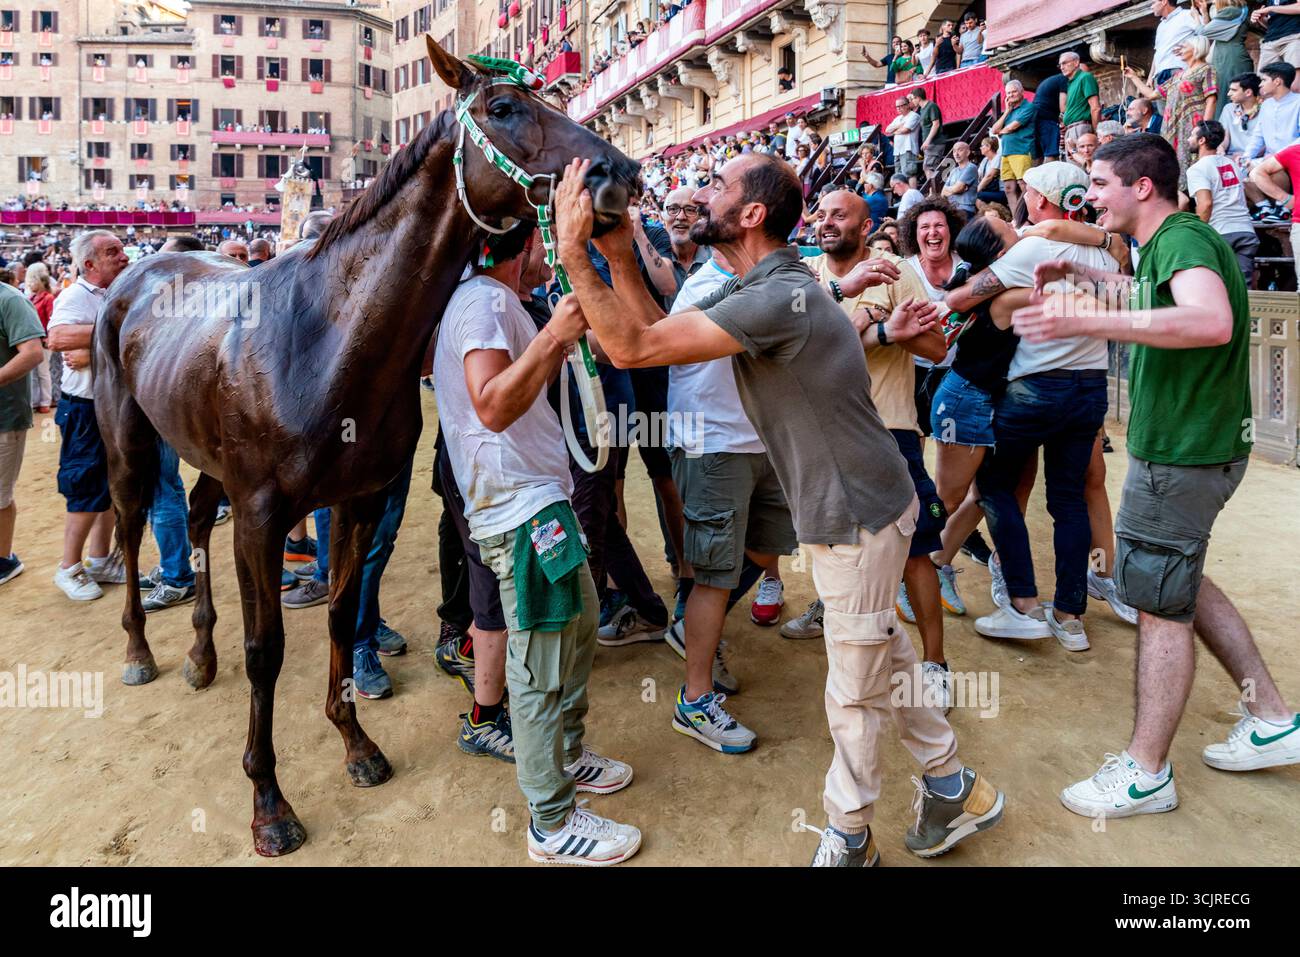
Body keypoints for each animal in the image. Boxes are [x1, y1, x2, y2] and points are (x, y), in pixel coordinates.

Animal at [92, 37, 639, 857]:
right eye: (504, 108)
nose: (622, 173)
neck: (325, 338)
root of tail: (141, 268)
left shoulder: (359, 499)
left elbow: (342, 616)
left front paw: (354, 742)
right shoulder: (261, 516)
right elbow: (267, 650)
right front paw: (269, 801)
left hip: (210, 461)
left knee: (191, 516)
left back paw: (199, 652)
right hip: (129, 442)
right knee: (131, 531)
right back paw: (139, 650)